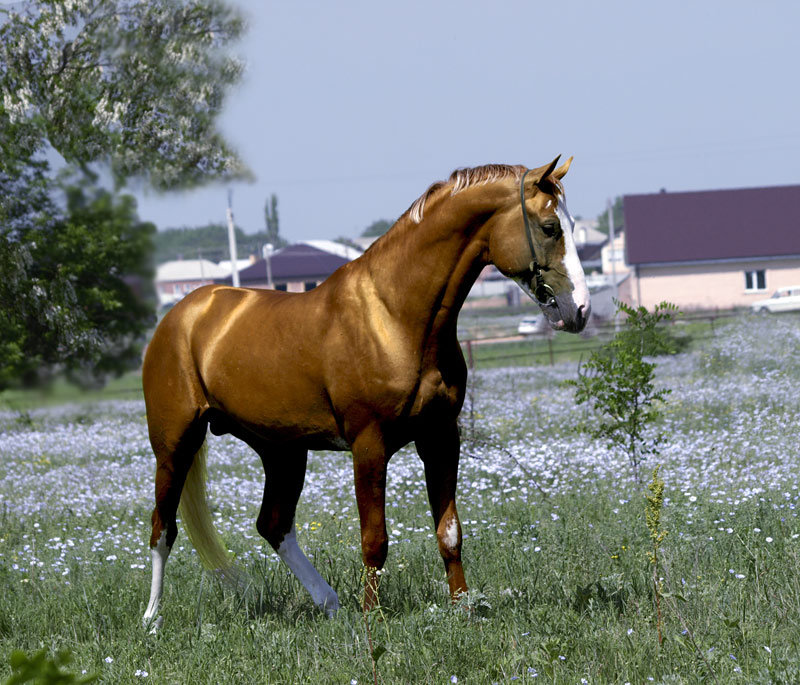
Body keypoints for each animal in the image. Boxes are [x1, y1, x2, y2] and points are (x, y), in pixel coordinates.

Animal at [139, 156, 588, 632]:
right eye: (549, 228)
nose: (578, 310)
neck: (392, 316)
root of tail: (180, 315)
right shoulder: (369, 446)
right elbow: (375, 539)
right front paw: (372, 617)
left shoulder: (441, 438)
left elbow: (449, 532)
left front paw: (464, 609)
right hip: (175, 444)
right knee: (162, 528)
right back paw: (151, 619)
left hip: (281, 449)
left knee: (274, 525)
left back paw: (329, 602)